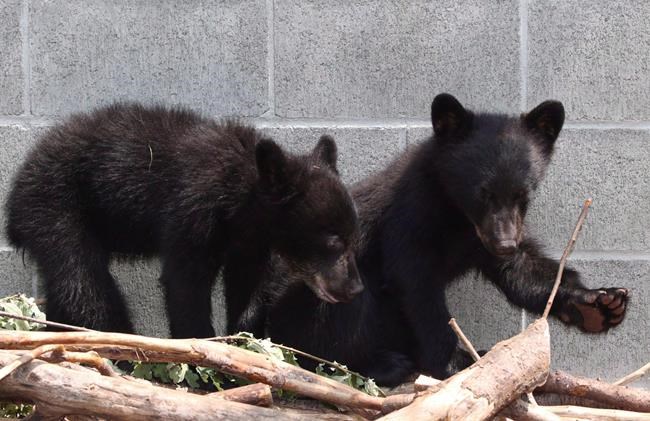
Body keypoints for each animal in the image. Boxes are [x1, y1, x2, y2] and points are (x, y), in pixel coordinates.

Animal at [5, 102, 363, 338]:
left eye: (354, 238)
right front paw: (204, 353)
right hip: (56, 204)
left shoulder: (249, 243)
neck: (239, 198)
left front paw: (246, 341)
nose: (355, 287)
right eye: (333, 242)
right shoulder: (193, 211)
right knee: (81, 278)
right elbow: (185, 282)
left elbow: (249, 287)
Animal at [238, 93, 629, 386]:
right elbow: (416, 285)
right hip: (317, 297)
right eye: (482, 193)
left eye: (523, 193)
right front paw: (457, 361)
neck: (458, 215)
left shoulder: (487, 234)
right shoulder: (409, 214)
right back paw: (385, 364)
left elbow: (522, 271)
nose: (504, 243)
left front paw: (600, 305)